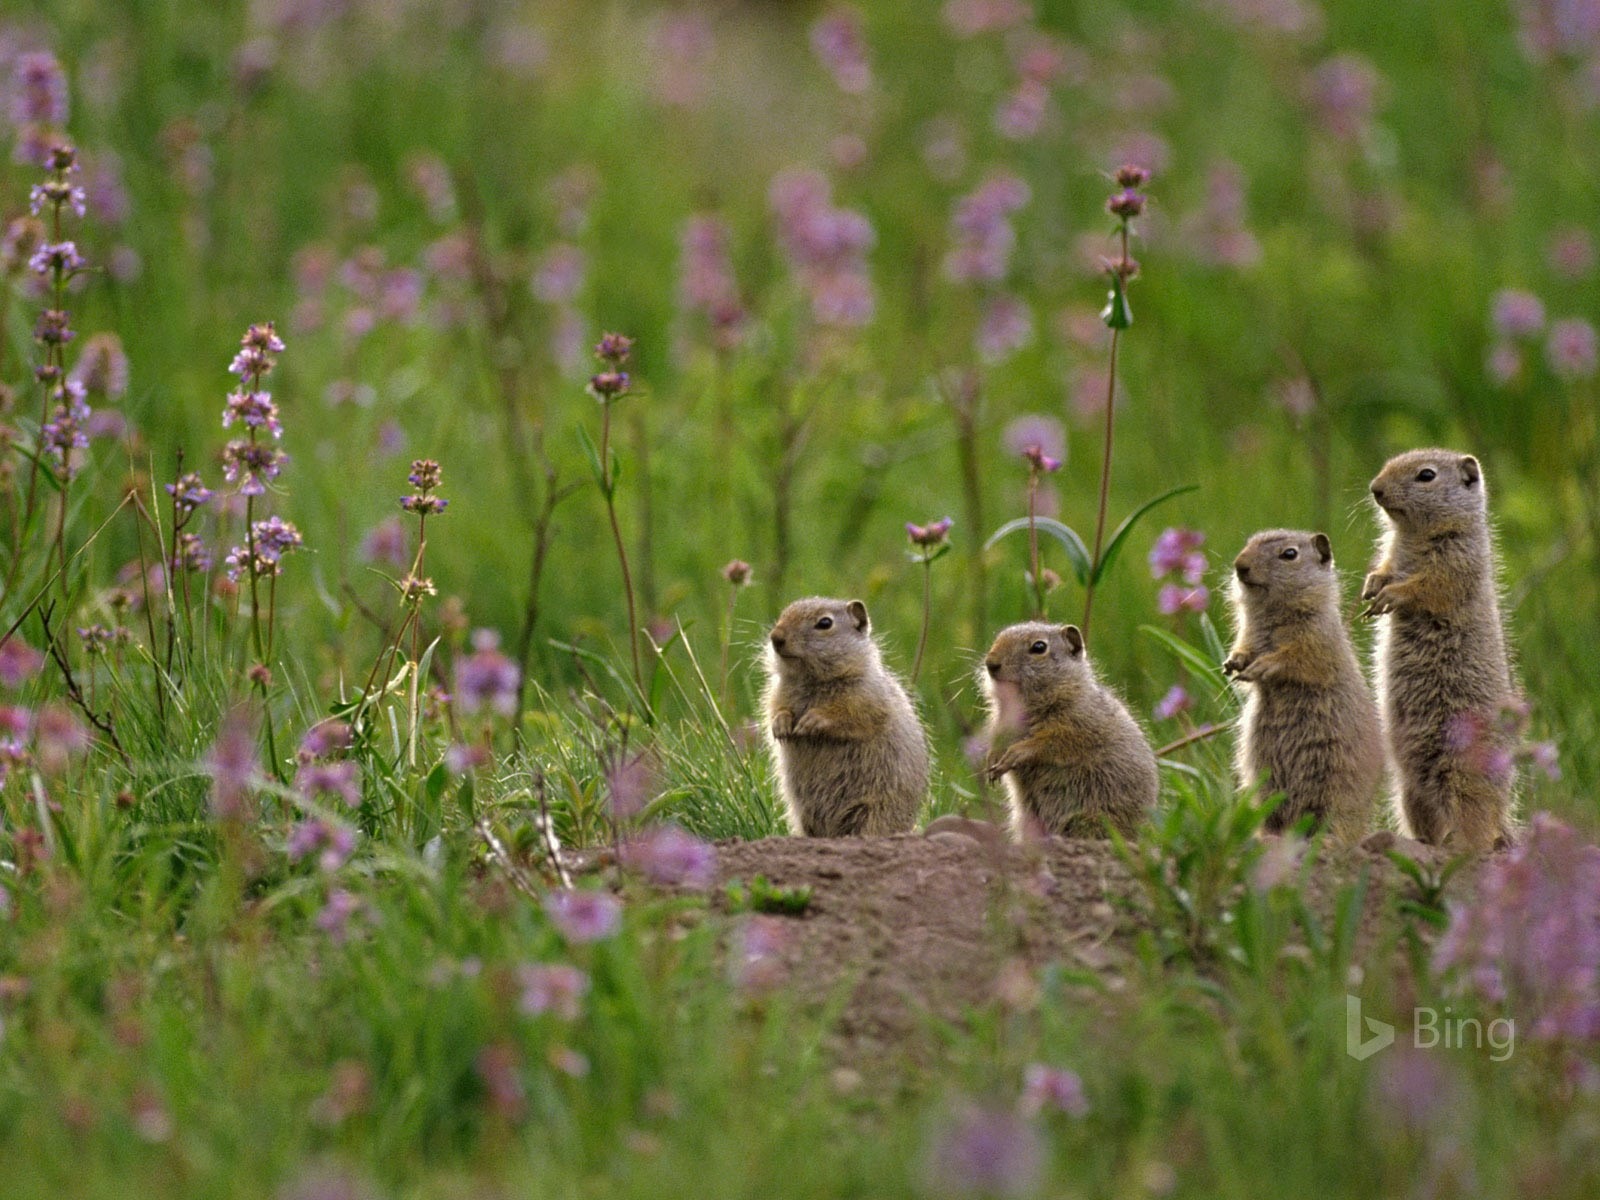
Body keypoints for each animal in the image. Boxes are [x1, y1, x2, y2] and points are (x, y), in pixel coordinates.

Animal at [764, 598, 934, 838]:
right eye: (783, 614)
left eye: (825, 623)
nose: (776, 637)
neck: (813, 681)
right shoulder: (777, 692)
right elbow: (776, 708)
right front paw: (781, 725)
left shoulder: (865, 697)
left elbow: (850, 716)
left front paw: (812, 721)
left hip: (874, 812)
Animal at [979, 624, 1158, 838]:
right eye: (998, 637)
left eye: (1039, 647)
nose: (991, 663)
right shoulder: (1002, 724)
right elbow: (999, 740)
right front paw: (992, 761)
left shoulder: (1076, 725)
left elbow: (1049, 743)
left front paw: (1016, 753)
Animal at [1228, 531, 1382, 838]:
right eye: (1248, 543)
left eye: (1289, 554)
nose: (1240, 565)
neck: (1273, 614)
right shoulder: (1249, 634)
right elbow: (1244, 648)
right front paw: (1233, 663)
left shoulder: (1316, 637)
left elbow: (1297, 658)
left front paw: (1262, 666)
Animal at [1363, 451, 1510, 857]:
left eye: (1426, 475)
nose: (1375, 488)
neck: (1412, 536)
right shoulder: (1392, 553)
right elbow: (1384, 568)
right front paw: (1371, 588)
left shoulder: (1456, 560)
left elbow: (1429, 585)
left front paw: (1391, 595)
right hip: (1410, 793)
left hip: (1462, 778)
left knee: (1476, 831)